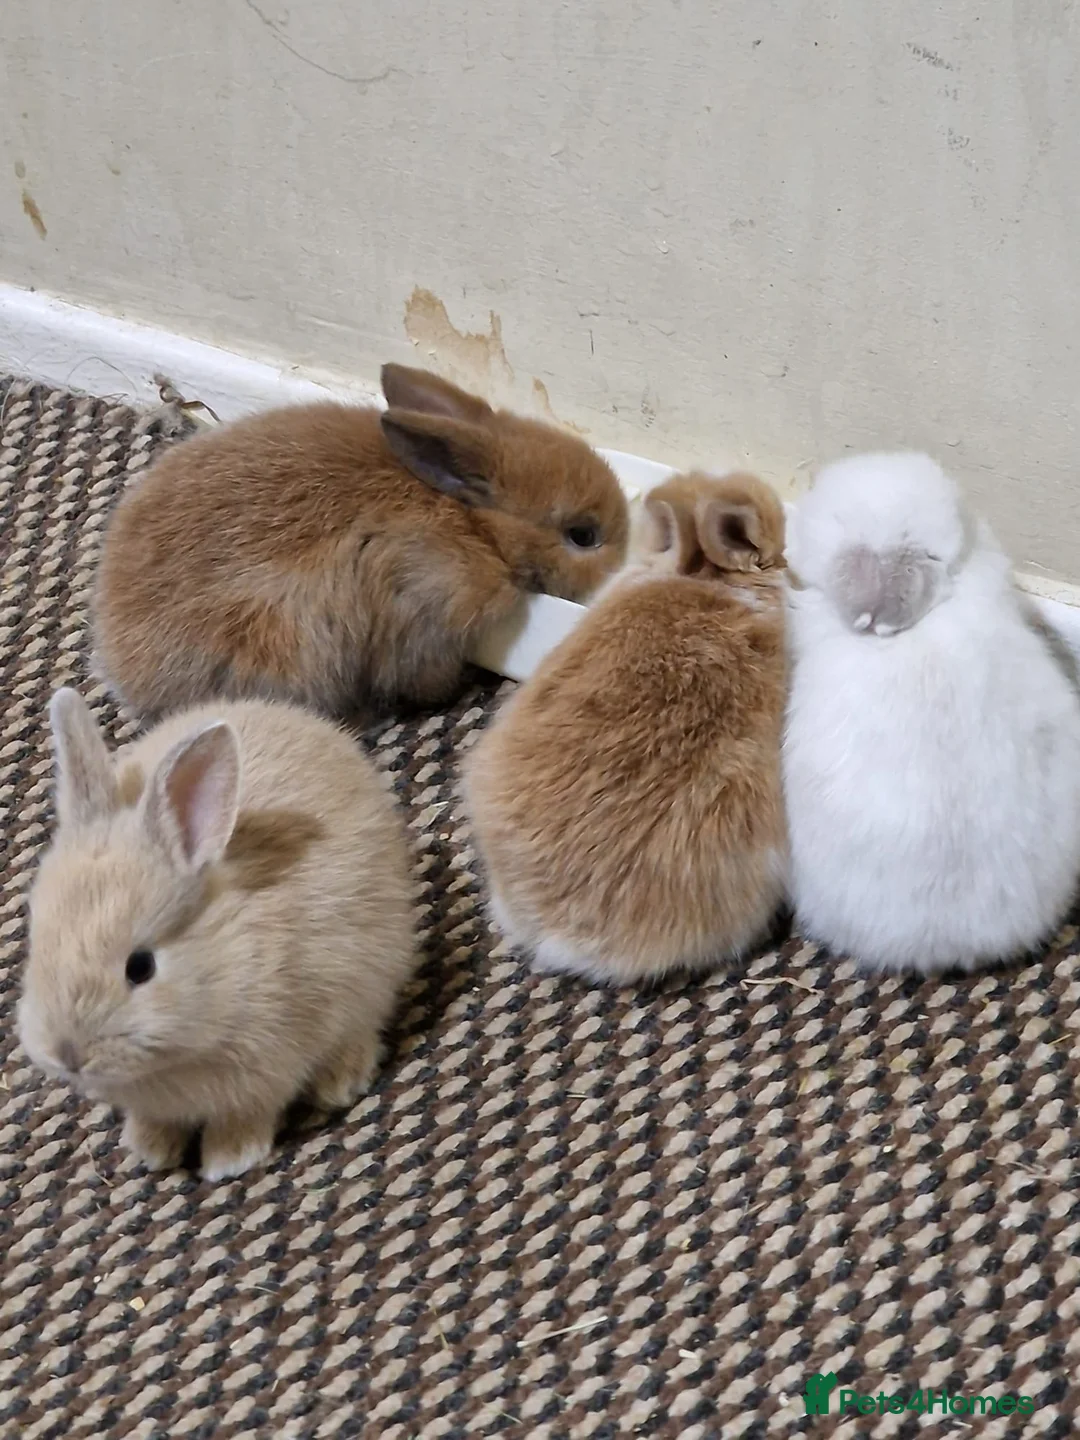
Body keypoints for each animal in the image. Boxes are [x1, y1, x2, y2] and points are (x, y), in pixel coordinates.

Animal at [18, 687, 417, 1180]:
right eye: (37, 945)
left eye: (140, 967)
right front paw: (150, 1149)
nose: (68, 1054)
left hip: (374, 978)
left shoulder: (268, 1070)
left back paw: (341, 1082)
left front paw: (230, 1159)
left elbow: (246, 1114)